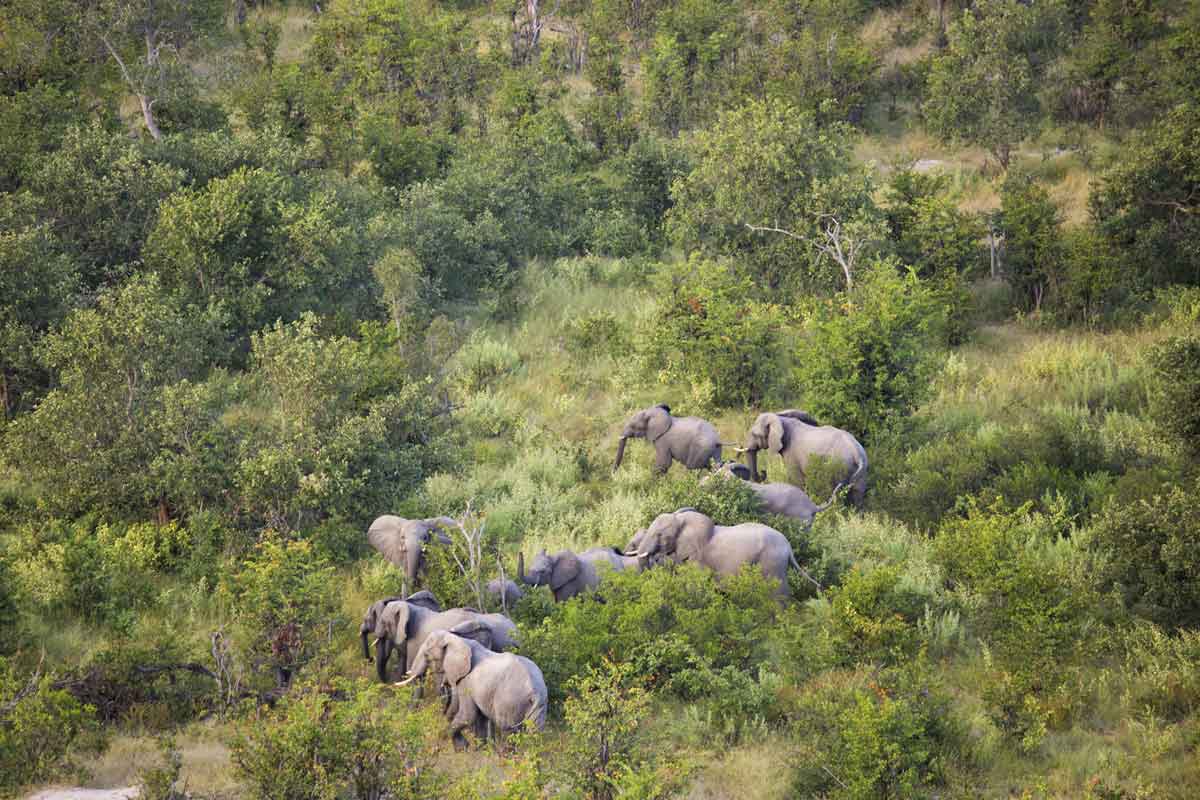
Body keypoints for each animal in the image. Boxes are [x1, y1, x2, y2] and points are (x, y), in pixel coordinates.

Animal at [398, 633, 549, 753]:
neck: (457, 639)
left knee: (507, 728)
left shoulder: (467, 682)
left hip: (510, 701)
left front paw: (460, 747)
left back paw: (505, 758)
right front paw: (479, 750)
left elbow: (468, 715)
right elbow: (479, 718)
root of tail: (535, 689)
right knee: (536, 733)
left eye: (426, 655)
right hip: (540, 705)